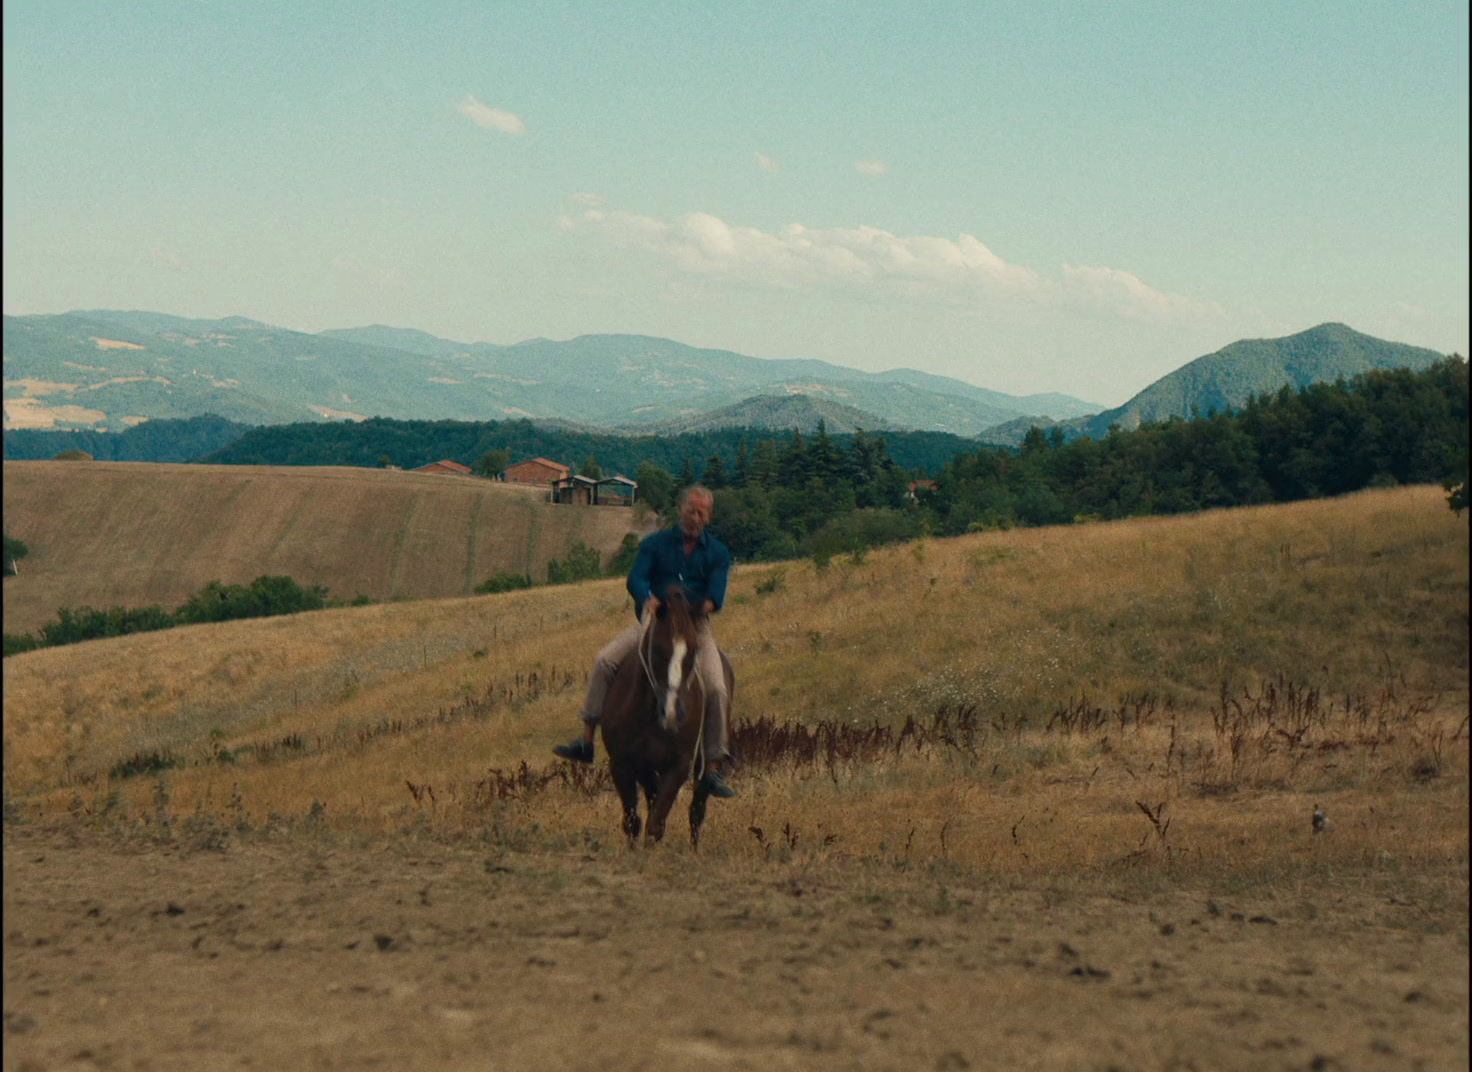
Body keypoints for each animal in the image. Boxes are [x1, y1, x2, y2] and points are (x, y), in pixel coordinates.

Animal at [597, 586, 736, 848]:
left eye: (693, 651)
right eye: (658, 649)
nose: (672, 713)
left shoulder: (679, 766)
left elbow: (656, 823)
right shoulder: (622, 763)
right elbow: (634, 820)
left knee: (697, 810)